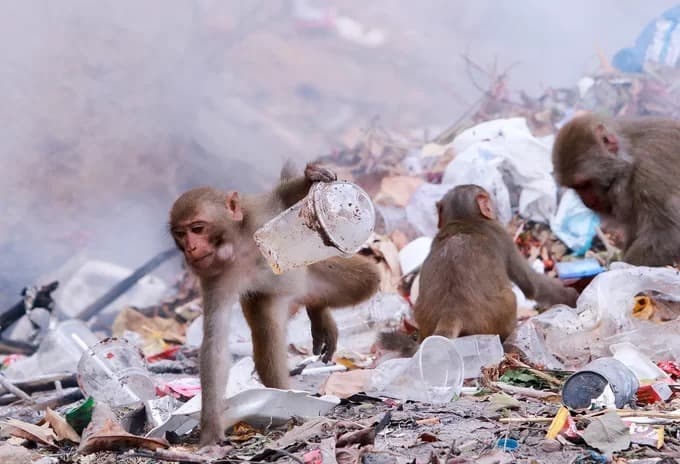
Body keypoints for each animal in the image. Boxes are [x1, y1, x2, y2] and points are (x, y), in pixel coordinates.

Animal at [169, 163, 380, 446]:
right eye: (180, 234)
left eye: (198, 228)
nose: (191, 249)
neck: (237, 247)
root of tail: (298, 294)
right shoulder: (215, 277)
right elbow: (215, 344)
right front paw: (211, 429)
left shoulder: (258, 217)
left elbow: (281, 199)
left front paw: (313, 177)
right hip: (276, 298)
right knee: (267, 331)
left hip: (315, 269)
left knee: (369, 278)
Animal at [379, 184, 579, 357]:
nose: (493, 209)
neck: (464, 218)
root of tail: (451, 313)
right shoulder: (502, 235)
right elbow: (531, 286)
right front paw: (571, 296)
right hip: (495, 316)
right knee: (511, 298)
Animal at [552, 113, 680, 266]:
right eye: (576, 187)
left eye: (584, 184)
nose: (586, 201)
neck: (631, 159)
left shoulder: (652, 173)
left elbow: (668, 233)